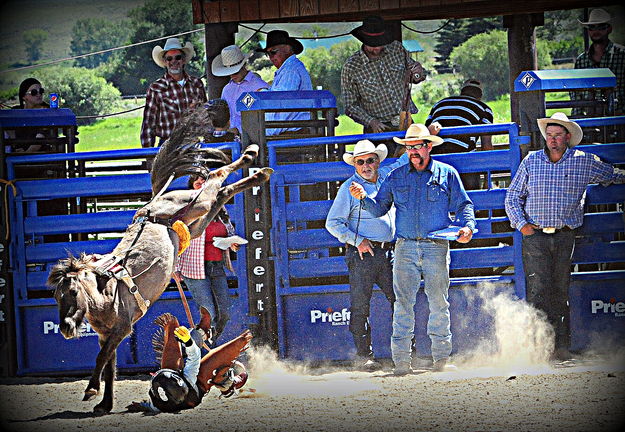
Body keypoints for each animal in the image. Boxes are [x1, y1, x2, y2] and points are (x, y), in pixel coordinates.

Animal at [47, 103, 272, 414]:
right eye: (56, 297)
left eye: (72, 292)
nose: (66, 329)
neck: (107, 292)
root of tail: (152, 204)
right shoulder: (108, 335)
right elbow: (110, 366)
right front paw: (105, 403)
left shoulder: (121, 329)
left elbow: (102, 358)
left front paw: (91, 391)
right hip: (195, 222)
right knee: (223, 193)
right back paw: (258, 173)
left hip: (194, 203)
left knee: (216, 178)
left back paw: (251, 155)